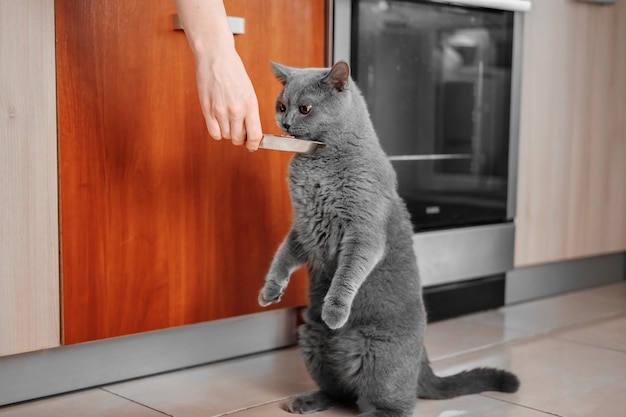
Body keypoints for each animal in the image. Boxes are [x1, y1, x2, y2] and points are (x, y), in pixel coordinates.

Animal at [258, 61, 516, 416]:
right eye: (282, 106)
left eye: (305, 108)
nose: (284, 122)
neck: (317, 162)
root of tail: (423, 361)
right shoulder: (305, 228)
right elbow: (282, 255)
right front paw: (270, 292)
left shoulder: (363, 233)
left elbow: (347, 275)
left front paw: (335, 312)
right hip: (311, 337)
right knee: (341, 393)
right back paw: (308, 400)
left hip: (379, 356)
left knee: (399, 404)